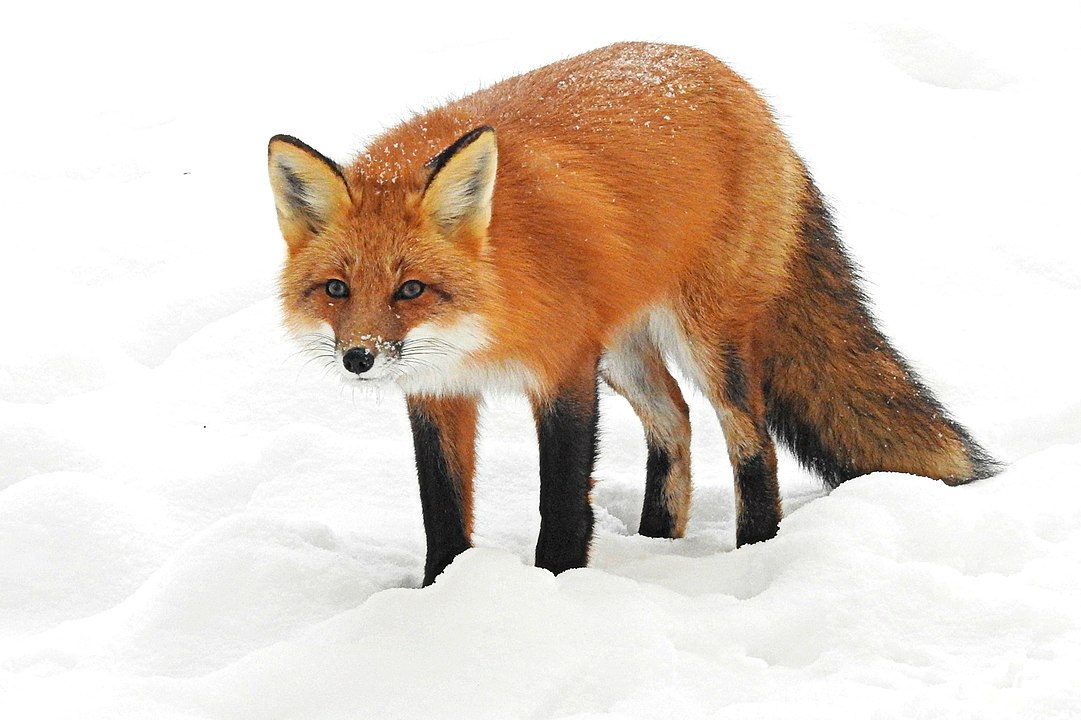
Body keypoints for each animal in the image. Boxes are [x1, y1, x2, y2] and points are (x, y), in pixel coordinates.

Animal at [267, 42, 998, 586]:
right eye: (335, 289)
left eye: (411, 289)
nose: (359, 357)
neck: (493, 303)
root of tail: (737, 84)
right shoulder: (437, 393)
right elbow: (441, 511)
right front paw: (439, 597)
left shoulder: (563, 371)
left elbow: (562, 501)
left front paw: (554, 589)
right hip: (620, 352)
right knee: (673, 420)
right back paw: (657, 542)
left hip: (706, 342)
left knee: (750, 441)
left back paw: (753, 552)